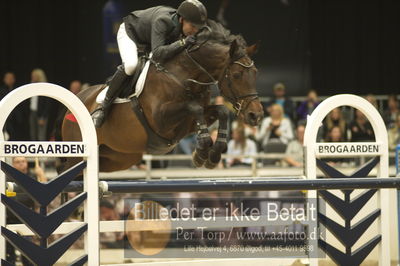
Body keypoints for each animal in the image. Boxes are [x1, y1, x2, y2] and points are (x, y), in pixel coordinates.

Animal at [60, 25, 262, 172]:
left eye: (255, 73)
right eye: (236, 75)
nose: (256, 115)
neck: (184, 75)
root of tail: (75, 100)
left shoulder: (189, 124)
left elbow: (221, 111)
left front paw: (212, 155)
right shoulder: (161, 120)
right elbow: (194, 107)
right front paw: (202, 152)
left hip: (116, 157)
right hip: (78, 155)